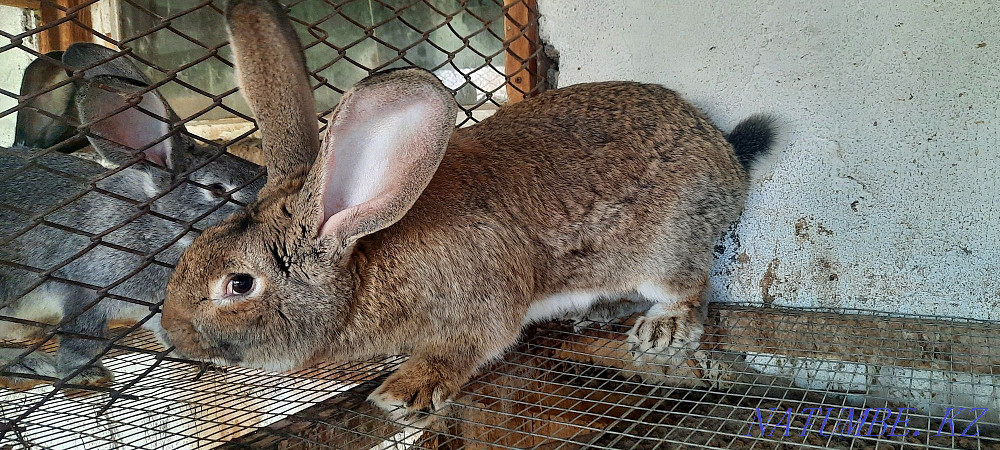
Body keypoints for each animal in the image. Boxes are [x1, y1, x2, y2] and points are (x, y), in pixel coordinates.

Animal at [0, 44, 265, 390]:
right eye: (217, 190)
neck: (164, 228)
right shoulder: (85, 290)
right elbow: (81, 339)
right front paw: (88, 377)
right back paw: (26, 365)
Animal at [160, 0, 776, 423]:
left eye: (238, 285)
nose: (172, 333)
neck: (364, 266)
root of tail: (725, 156)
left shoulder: (481, 303)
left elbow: (468, 347)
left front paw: (404, 391)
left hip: (666, 247)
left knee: (690, 288)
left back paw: (661, 328)